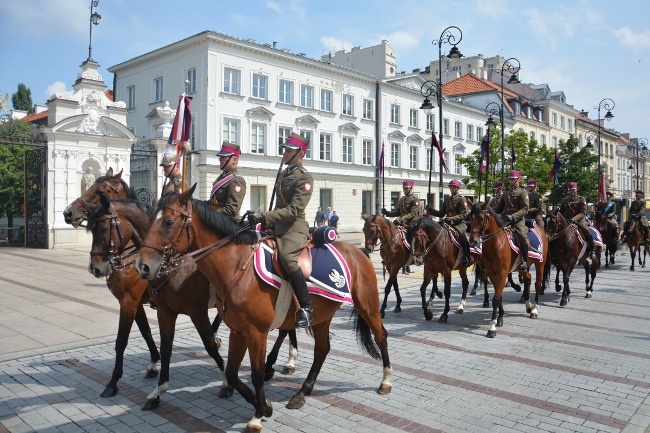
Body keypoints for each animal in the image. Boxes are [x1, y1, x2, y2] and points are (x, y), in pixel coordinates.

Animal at [137, 188, 390, 432]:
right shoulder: (235, 330)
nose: (143, 266)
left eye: (169, 222)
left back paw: (385, 381)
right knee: (322, 349)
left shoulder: (252, 331)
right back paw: (301, 393)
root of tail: (358, 251)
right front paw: (263, 405)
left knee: (381, 335)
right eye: (150, 220)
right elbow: (230, 372)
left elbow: (255, 373)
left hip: (367, 305)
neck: (237, 267)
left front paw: (257, 415)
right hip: (322, 316)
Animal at [466, 203, 548, 338]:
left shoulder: (502, 273)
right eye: (470, 218)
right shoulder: (492, 273)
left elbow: (496, 299)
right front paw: (500, 318)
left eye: (481, 218)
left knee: (537, 284)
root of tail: (541, 229)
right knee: (528, 279)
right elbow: (499, 297)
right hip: (521, 267)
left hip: (540, 263)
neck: (496, 244)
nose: (473, 241)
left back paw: (534, 310)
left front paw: (492, 328)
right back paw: (528, 306)